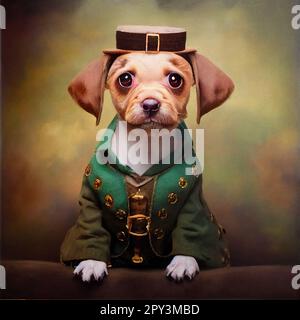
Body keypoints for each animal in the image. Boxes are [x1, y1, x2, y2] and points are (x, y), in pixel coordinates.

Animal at [61, 26, 234, 284]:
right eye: (125, 79)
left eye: (175, 80)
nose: (150, 104)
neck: (146, 142)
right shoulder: (91, 199)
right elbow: (91, 229)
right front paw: (91, 262)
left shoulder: (192, 201)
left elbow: (190, 231)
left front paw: (183, 262)